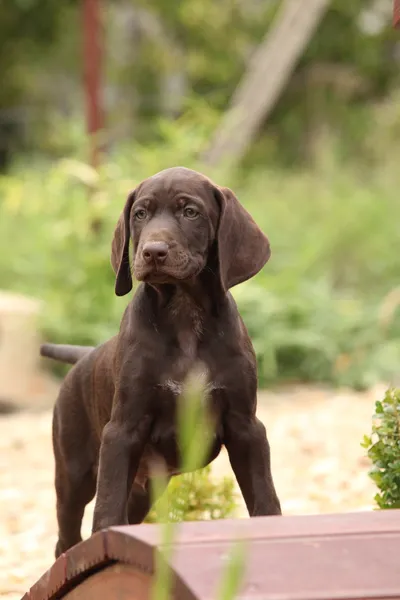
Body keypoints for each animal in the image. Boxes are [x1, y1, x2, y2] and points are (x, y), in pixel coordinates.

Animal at [41, 165, 282, 556]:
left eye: (190, 212)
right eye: (140, 214)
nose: (153, 252)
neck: (183, 312)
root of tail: (84, 355)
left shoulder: (246, 426)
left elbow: (264, 493)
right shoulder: (123, 429)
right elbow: (108, 506)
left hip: (145, 486)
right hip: (73, 471)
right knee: (67, 534)